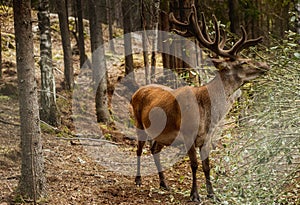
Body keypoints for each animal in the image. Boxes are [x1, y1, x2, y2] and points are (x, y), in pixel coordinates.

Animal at [130, 4, 268, 202]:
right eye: (243, 62)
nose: (265, 65)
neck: (207, 113)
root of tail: (136, 92)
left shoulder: (207, 137)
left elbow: (206, 165)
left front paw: (212, 194)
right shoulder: (188, 133)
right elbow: (194, 164)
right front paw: (195, 195)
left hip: (162, 133)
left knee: (154, 148)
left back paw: (164, 183)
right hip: (138, 122)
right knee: (139, 149)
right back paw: (138, 179)